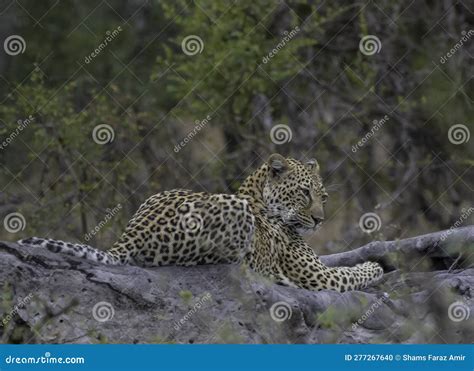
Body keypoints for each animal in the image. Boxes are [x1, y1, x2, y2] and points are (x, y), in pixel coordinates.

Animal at [18, 153, 384, 292]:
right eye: (304, 193)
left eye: (324, 196)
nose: (320, 220)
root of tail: (131, 236)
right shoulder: (320, 278)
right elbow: (353, 274)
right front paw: (377, 266)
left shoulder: (320, 267)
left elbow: (342, 261)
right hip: (229, 217)